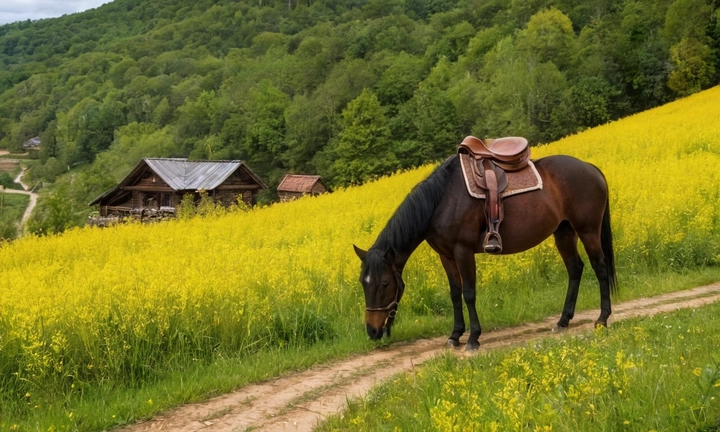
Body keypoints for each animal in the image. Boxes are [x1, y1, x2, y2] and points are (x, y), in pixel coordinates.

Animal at [352, 153, 616, 352]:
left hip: (588, 230)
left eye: (385, 283)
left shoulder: (463, 252)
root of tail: (590, 168)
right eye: (363, 283)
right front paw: (454, 335)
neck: (441, 202)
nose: (372, 331)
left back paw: (602, 319)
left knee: (600, 267)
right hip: (564, 232)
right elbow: (454, 293)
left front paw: (473, 338)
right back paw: (563, 321)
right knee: (575, 269)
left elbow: (468, 293)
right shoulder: (446, 256)